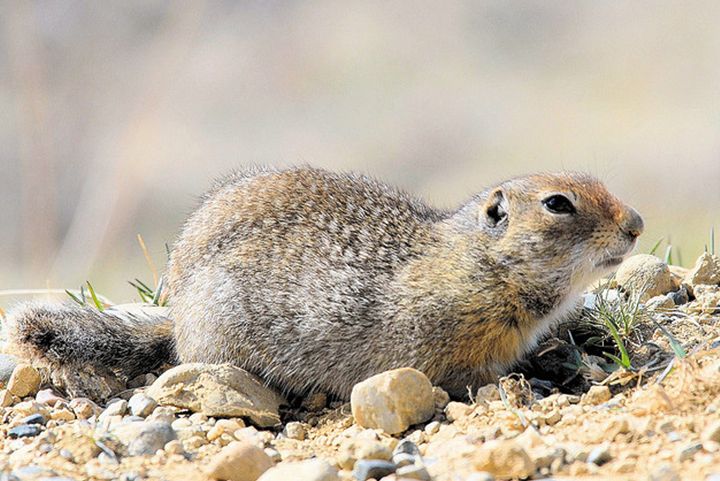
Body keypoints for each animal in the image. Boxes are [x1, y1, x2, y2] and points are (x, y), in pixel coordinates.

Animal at [5, 166, 643, 400]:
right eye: (558, 204)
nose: (636, 225)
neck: (483, 263)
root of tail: (177, 313)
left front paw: (562, 352)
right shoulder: (447, 340)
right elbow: (473, 377)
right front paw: (532, 382)